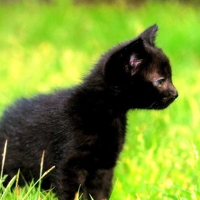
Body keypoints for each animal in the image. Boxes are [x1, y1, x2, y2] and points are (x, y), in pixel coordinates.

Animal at [0, 24, 178, 199]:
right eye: (160, 81)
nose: (175, 93)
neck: (106, 114)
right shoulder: (70, 165)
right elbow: (72, 193)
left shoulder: (104, 166)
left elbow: (99, 193)